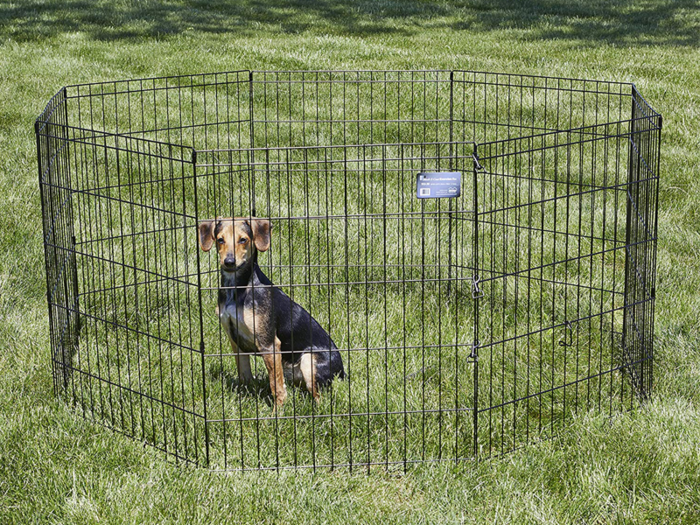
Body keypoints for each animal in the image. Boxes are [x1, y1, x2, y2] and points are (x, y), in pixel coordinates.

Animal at [198, 215, 346, 408]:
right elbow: (244, 377)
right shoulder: (235, 341)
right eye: (220, 240)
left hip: (309, 361)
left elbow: (277, 387)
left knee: (321, 398)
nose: (229, 262)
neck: (237, 289)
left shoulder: (269, 344)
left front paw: (278, 412)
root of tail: (343, 372)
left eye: (243, 240)